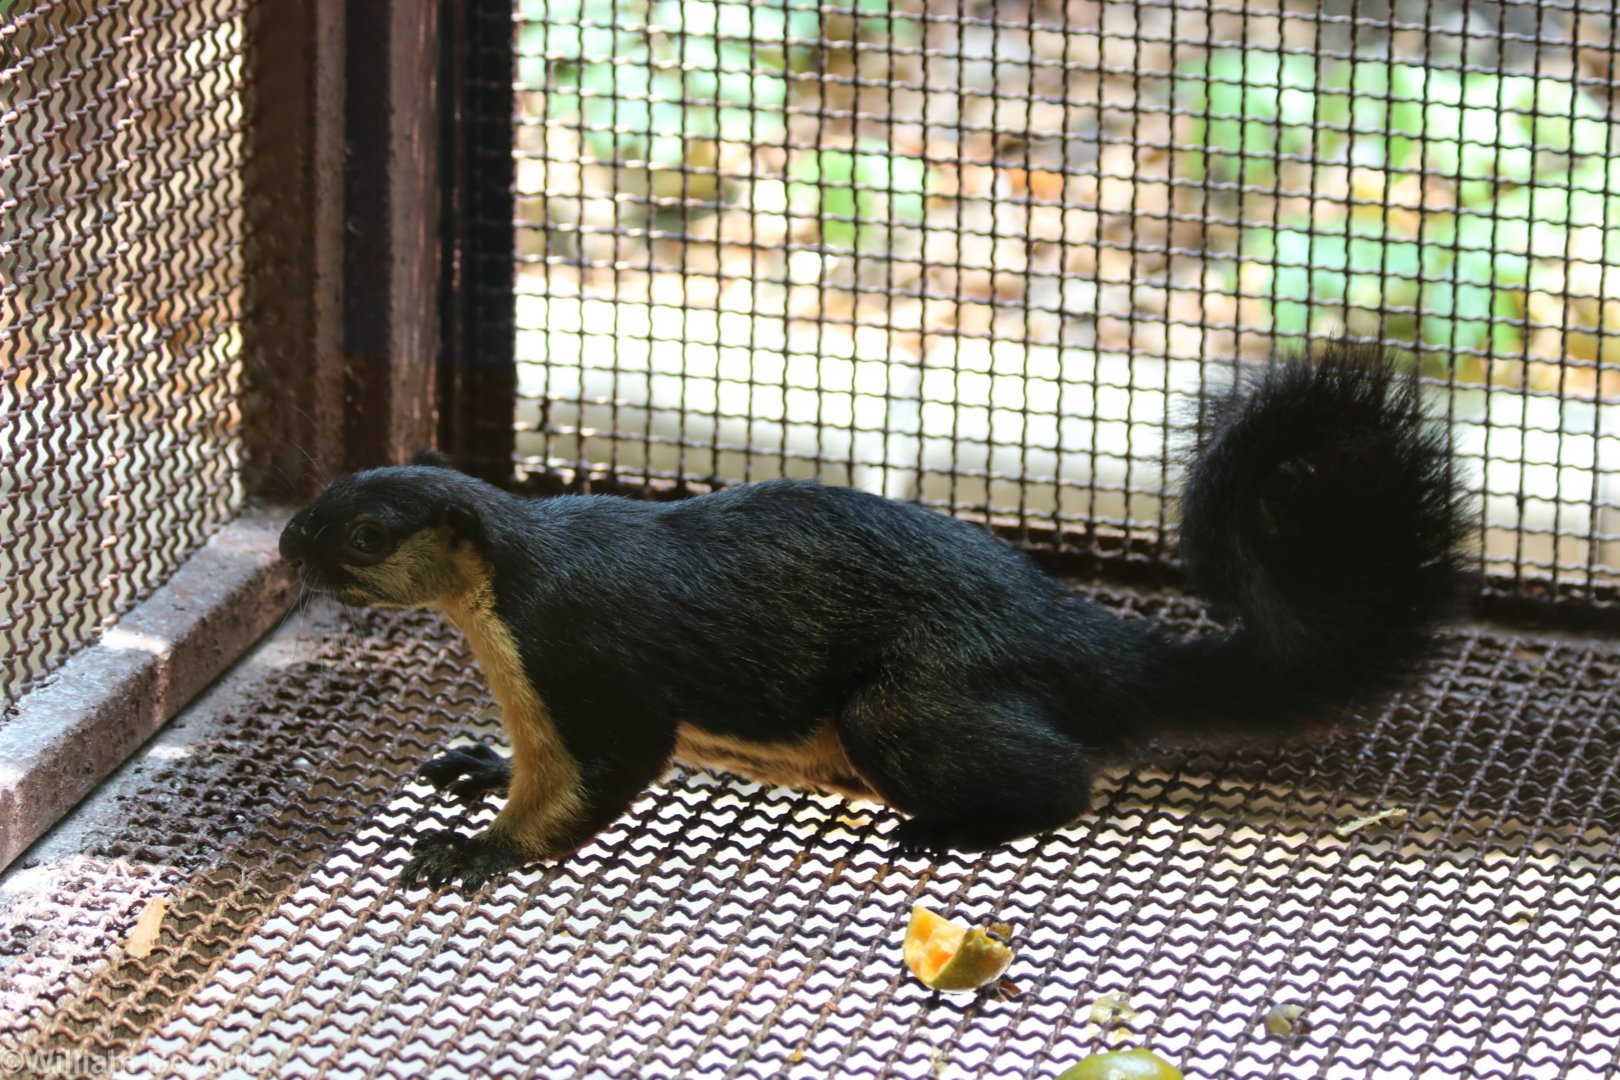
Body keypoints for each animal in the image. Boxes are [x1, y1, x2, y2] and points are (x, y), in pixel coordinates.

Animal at [279, 341, 1470, 890]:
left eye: (368, 534)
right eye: (324, 493)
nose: (287, 545)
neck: (499, 612)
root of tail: (1082, 641)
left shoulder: (591, 661)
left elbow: (592, 781)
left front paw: (474, 850)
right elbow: (529, 763)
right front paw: (474, 767)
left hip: (906, 708)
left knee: (1062, 782)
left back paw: (942, 828)